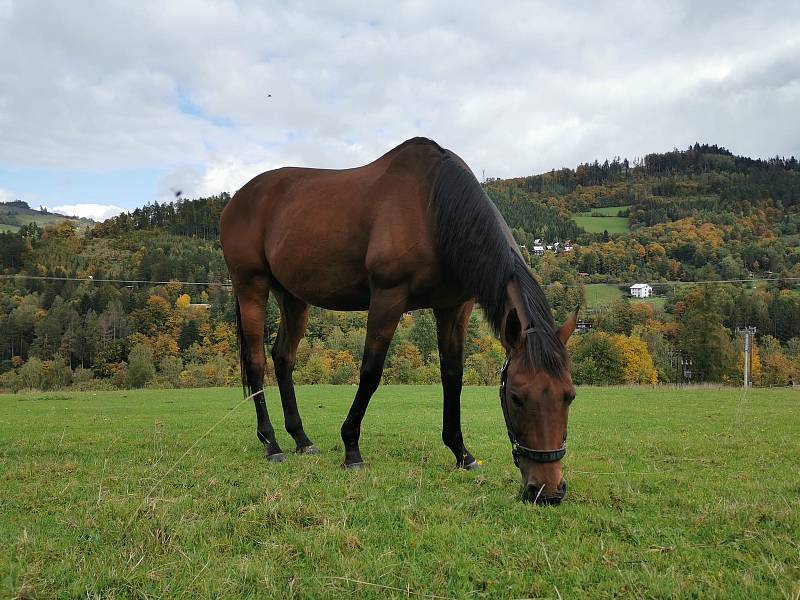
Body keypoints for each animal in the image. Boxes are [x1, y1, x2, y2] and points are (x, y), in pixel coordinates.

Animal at [222, 136, 580, 502]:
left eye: (569, 395)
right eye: (517, 397)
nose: (548, 490)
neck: (433, 207)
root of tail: (238, 198)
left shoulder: (453, 309)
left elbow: (453, 376)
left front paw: (461, 452)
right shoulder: (387, 298)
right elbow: (370, 372)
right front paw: (352, 448)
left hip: (293, 297)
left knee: (283, 358)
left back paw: (301, 439)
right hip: (251, 287)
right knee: (256, 361)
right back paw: (271, 443)